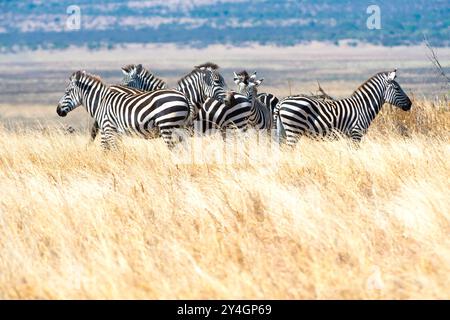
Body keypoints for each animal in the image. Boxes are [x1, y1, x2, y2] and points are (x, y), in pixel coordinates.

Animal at [56, 70, 190, 148]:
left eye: (67, 92)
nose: (57, 110)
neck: (101, 102)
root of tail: (184, 97)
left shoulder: (109, 129)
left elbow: (113, 150)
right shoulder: (110, 132)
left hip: (167, 126)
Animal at [274, 70, 412, 146]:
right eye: (397, 88)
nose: (410, 104)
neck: (364, 106)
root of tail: (282, 102)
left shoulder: (350, 136)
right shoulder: (356, 133)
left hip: (283, 131)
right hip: (294, 130)